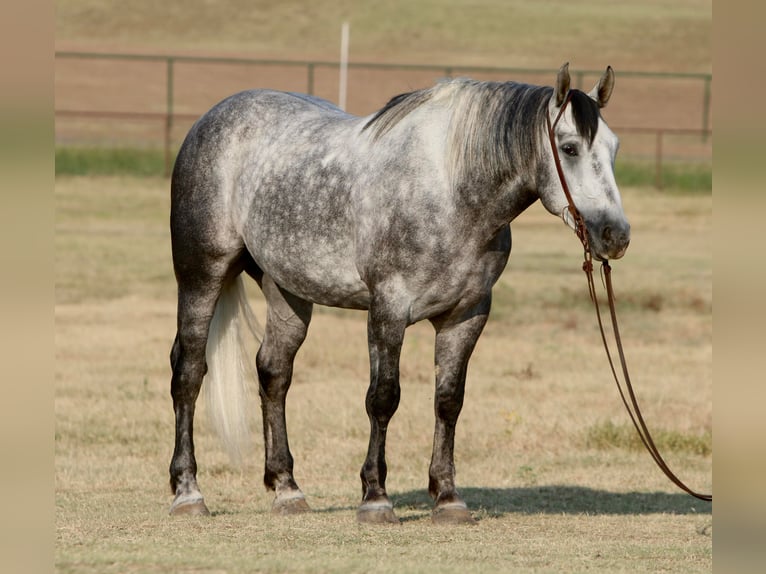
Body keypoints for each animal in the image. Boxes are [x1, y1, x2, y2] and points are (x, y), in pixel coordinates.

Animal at [168, 63, 632, 528]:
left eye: (614, 147)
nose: (616, 235)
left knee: (273, 373)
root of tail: (211, 120)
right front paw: (376, 498)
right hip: (202, 276)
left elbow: (448, 401)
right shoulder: (388, 309)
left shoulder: (467, 315)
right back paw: (188, 493)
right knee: (189, 371)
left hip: (286, 289)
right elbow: (383, 398)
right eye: (569, 148)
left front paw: (447, 497)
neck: (451, 192)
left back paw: (287, 489)